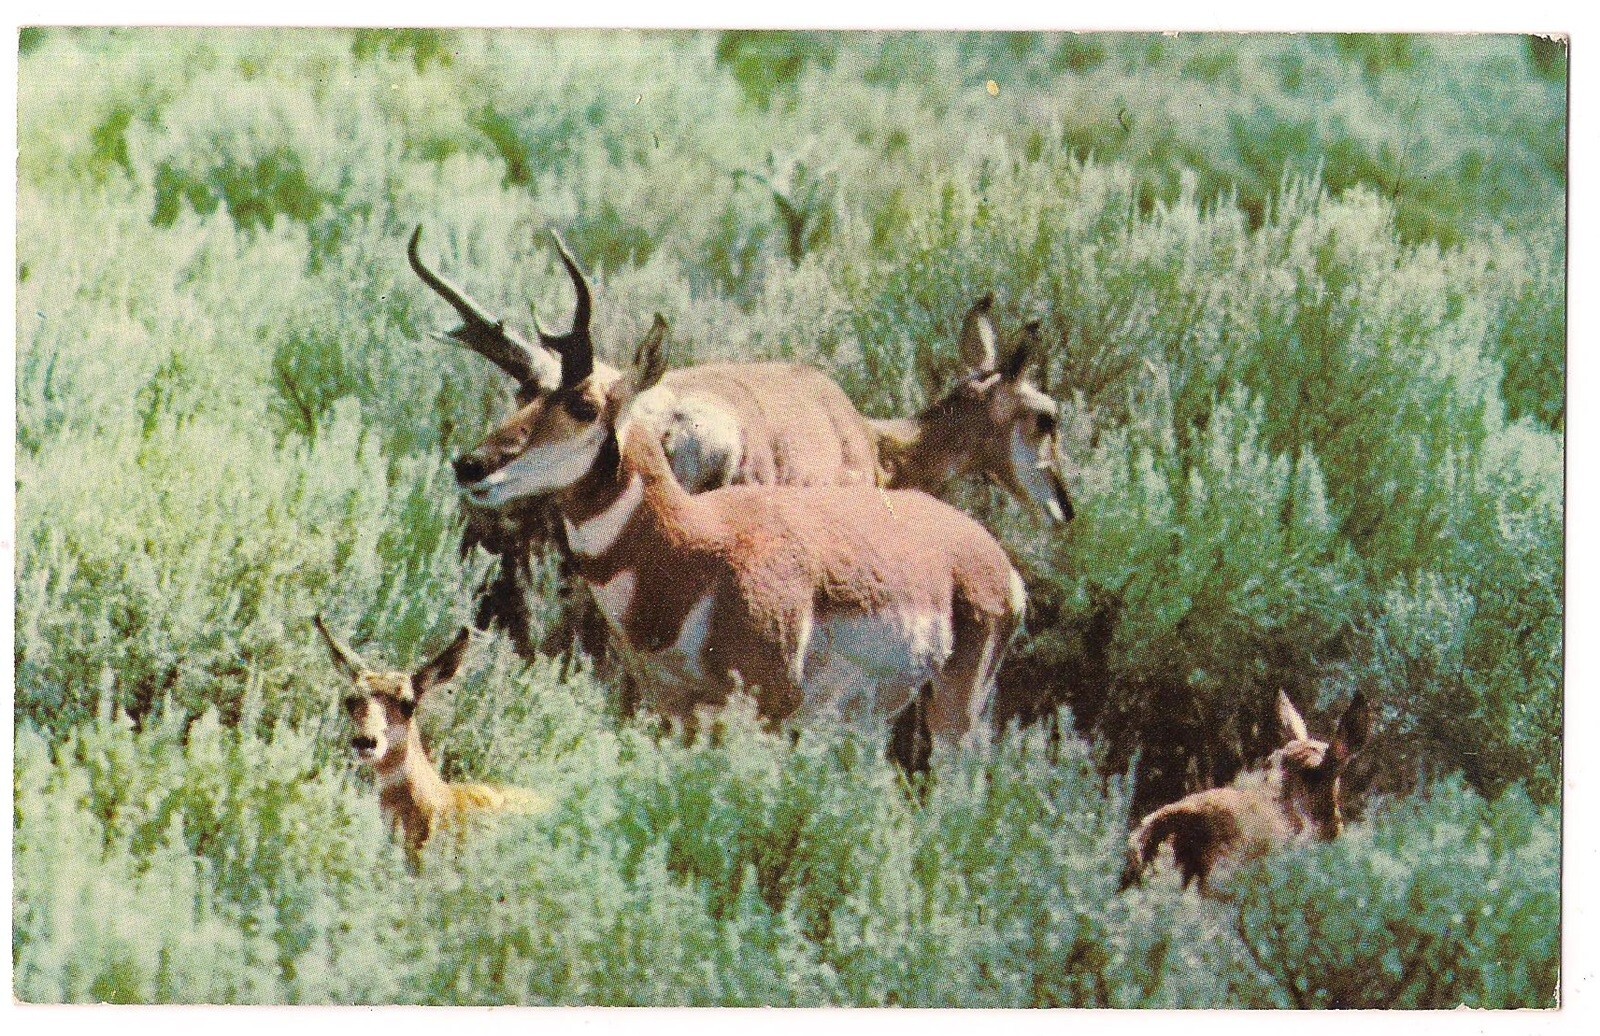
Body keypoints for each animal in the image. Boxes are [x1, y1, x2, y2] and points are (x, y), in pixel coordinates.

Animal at [447, 296, 1028, 754]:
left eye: (584, 405)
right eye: (523, 395)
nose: (469, 465)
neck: (695, 543)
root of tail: (990, 553)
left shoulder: (765, 706)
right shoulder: (673, 705)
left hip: (954, 710)